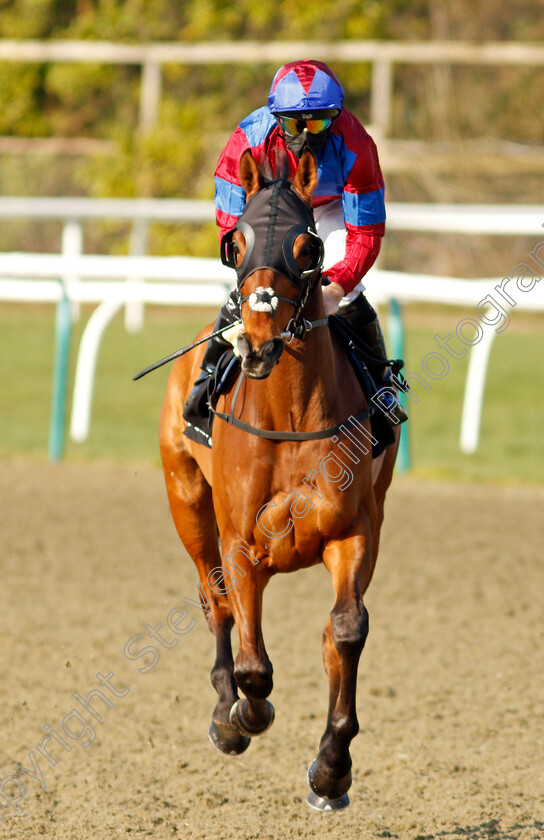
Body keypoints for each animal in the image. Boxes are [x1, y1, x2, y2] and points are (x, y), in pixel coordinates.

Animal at [157, 148, 400, 812]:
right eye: (233, 242)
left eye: (307, 246)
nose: (260, 344)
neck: (289, 414)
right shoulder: (241, 541)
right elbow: (252, 664)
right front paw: (246, 712)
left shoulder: (354, 529)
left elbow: (346, 630)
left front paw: (331, 769)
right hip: (187, 501)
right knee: (212, 598)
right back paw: (226, 717)